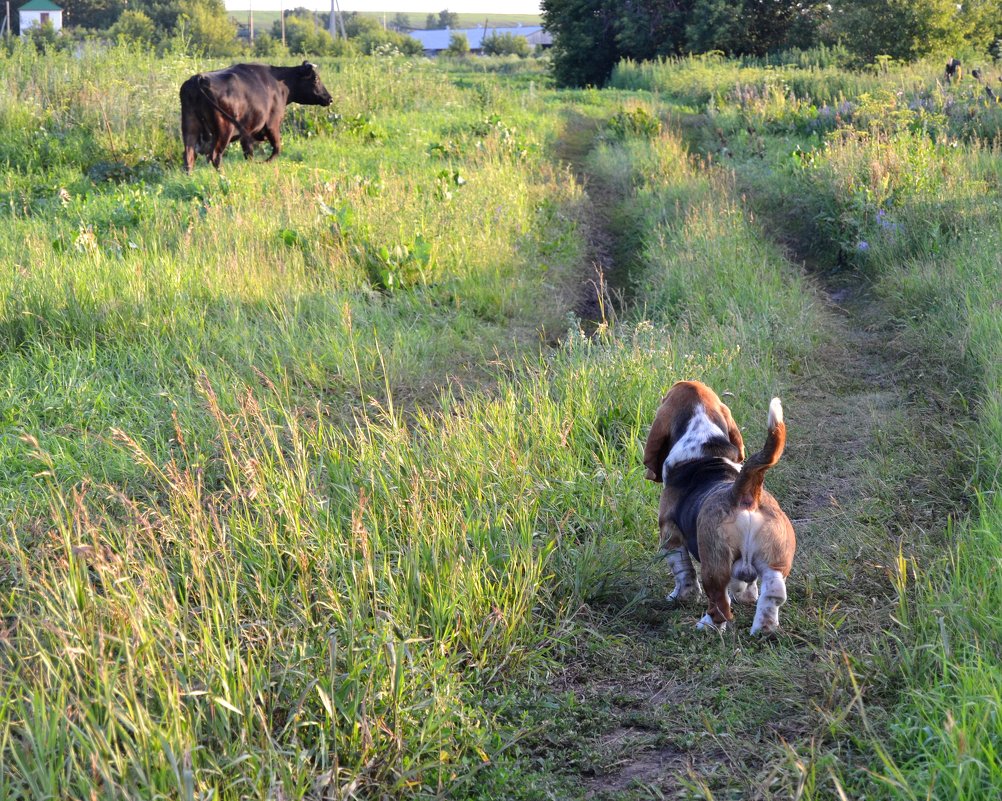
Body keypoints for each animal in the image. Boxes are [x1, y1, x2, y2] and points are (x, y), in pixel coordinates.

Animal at [180, 62, 332, 173]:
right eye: (316, 79)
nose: (329, 98)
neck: (279, 85)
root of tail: (198, 78)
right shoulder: (272, 124)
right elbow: (277, 149)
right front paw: (263, 163)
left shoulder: (246, 131)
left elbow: (249, 153)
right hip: (224, 129)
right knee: (215, 155)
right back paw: (222, 175)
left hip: (190, 126)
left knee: (189, 156)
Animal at [641, 378, 797, 637]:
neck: (703, 444)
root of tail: (743, 492)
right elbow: (745, 584)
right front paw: (746, 595)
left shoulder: (670, 536)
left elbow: (683, 572)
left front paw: (680, 597)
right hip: (775, 558)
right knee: (774, 592)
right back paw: (763, 629)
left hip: (714, 562)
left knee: (720, 603)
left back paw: (706, 626)